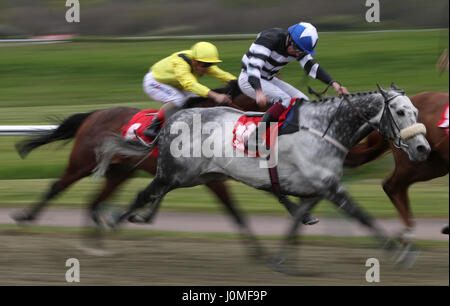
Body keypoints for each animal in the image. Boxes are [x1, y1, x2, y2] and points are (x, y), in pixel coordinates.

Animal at [94, 83, 428, 270]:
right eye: (400, 112)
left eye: (415, 110)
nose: (422, 148)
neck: (325, 129)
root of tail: (173, 118)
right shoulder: (331, 189)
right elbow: (364, 218)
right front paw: (402, 253)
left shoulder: (318, 190)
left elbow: (295, 222)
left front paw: (281, 260)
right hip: (176, 171)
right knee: (145, 193)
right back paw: (112, 224)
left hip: (195, 175)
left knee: (156, 194)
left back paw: (137, 217)